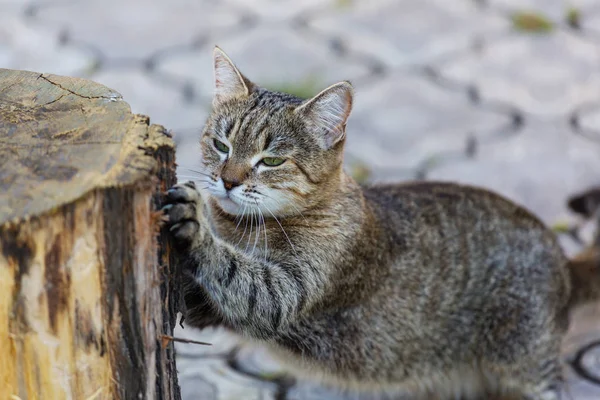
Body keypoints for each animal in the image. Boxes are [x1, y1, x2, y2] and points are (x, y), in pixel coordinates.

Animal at [162, 47, 600, 400]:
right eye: (221, 145)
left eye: (271, 160)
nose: (228, 180)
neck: (241, 227)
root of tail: (564, 264)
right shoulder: (214, 306)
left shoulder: (284, 291)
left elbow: (238, 273)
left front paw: (196, 224)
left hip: (527, 366)